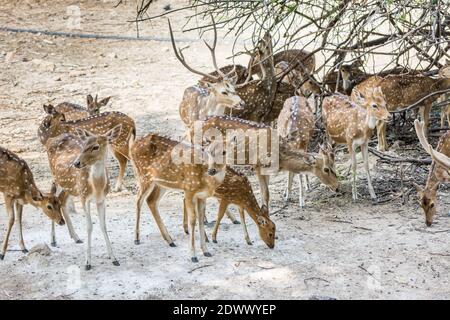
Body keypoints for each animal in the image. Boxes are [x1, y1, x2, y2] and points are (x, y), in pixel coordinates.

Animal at [44, 126, 122, 268]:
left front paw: (114, 258)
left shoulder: (102, 199)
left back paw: (76, 237)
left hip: (69, 186)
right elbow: (89, 226)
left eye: (96, 146)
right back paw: (53, 240)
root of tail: (50, 139)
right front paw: (87, 263)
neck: (96, 187)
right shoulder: (84, 197)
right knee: (52, 196)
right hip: (56, 178)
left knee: (62, 201)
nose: (76, 163)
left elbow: (103, 225)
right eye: (84, 144)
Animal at [131, 134, 227, 262]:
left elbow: (201, 220)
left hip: (161, 183)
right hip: (144, 175)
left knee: (150, 200)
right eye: (209, 151)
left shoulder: (202, 196)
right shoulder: (189, 190)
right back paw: (136, 239)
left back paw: (170, 240)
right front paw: (193, 256)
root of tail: (132, 146)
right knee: (138, 200)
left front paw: (206, 251)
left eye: (224, 151)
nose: (212, 170)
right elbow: (193, 220)